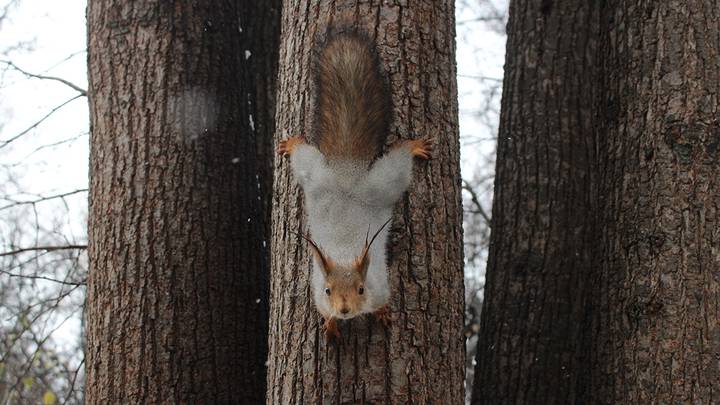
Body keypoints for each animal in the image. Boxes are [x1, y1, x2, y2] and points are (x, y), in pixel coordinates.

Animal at [278, 28, 430, 340]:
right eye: (328, 290)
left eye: (361, 289)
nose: (344, 309)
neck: (345, 254)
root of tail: (347, 174)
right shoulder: (315, 291)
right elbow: (323, 311)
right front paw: (330, 323)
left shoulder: (380, 285)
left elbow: (382, 301)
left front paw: (382, 314)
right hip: (316, 176)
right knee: (302, 156)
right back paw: (293, 142)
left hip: (381, 182)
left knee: (399, 163)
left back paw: (413, 147)